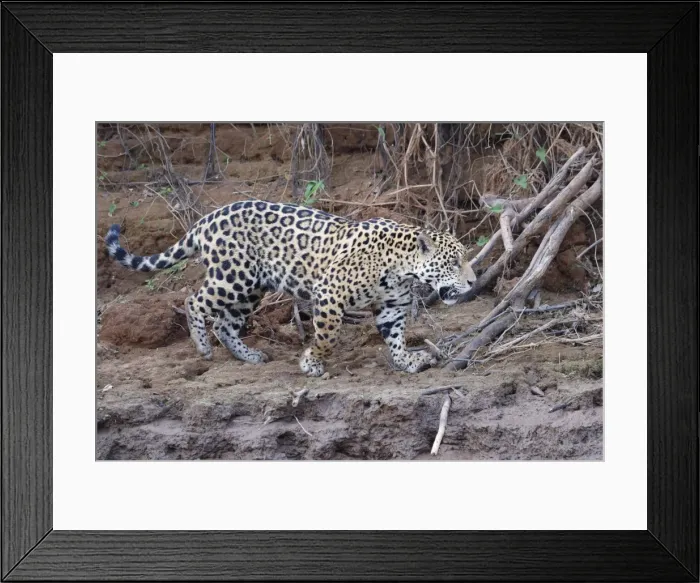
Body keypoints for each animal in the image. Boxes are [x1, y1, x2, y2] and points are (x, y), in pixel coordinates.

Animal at [105, 198, 476, 377]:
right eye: (454, 261)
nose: (473, 281)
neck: (403, 267)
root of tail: (206, 219)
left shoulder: (392, 307)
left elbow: (396, 338)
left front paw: (408, 361)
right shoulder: (329, 293)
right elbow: (328, 336)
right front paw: (311, 363)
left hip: (252, 287)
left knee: (225, 323)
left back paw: (248, 355)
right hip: (232, 276)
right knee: (194, 300)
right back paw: (202, 347)